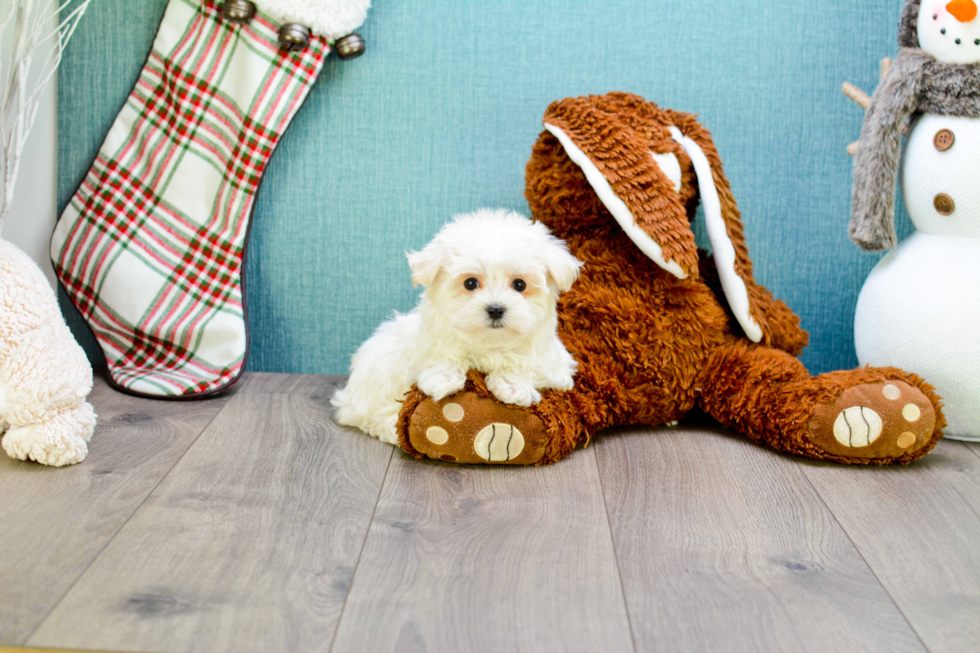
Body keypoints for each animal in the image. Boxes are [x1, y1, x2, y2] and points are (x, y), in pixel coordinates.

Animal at [334, 209, 580, 444]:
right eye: (470, 283)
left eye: (520, 284)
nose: (495, 309)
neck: (488, 344)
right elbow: (443, 355)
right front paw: (443, 378)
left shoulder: (556, 368)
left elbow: (526, 364)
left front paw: (512, 385)